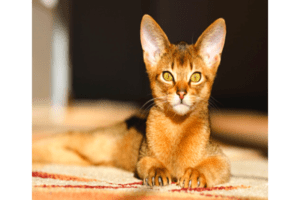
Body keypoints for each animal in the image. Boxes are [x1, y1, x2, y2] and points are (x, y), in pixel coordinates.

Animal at [32, 14, 230, 188]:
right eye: (167, 75)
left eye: (196, 77)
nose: (181, 93)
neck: (177, 129)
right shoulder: (142, 159)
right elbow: (150, 163)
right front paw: (157, 172)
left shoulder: (222, 160)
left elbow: (211, 166)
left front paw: (196, 174)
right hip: (92, 142)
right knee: (59, 137)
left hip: (81, 158)